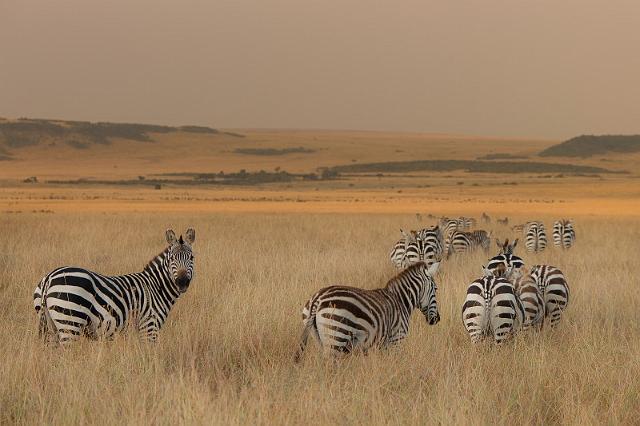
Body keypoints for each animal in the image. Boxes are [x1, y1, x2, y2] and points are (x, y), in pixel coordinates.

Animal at [32, 228, 196, 344]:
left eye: (192, 257)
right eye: (172, 258)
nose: (182, 282)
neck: (156, 287)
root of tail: (49, 277)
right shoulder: (149, 326)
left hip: (51, 325)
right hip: (70, 323)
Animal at [296, 262, 440, 358]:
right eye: (436, 289)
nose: (437, 319)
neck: (401, 301)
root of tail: (318, 298)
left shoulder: (380, 346)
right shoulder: (396, 340)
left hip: (319, 338)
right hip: (337, 336)